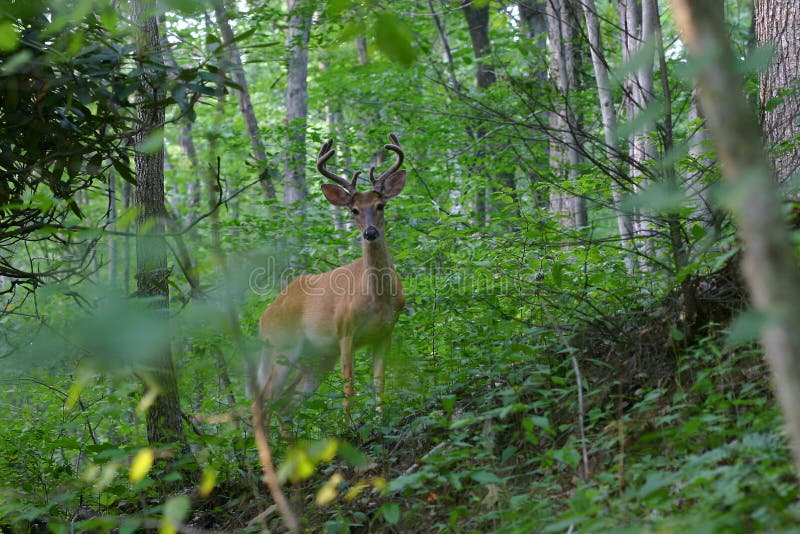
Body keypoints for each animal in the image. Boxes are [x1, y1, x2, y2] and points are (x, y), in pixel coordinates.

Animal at [255, 134, 406, 418]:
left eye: (380, 205)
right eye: (353, 210)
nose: (370, 233)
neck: (378, 298)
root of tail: (263, 317)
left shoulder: (385, 332)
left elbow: (379, 384)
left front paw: (380, 420)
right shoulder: (344, 332)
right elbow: (349, 389)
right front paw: (350, 425)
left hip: (317, 358)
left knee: (285, 404)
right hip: (283, 346)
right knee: (263, 401)